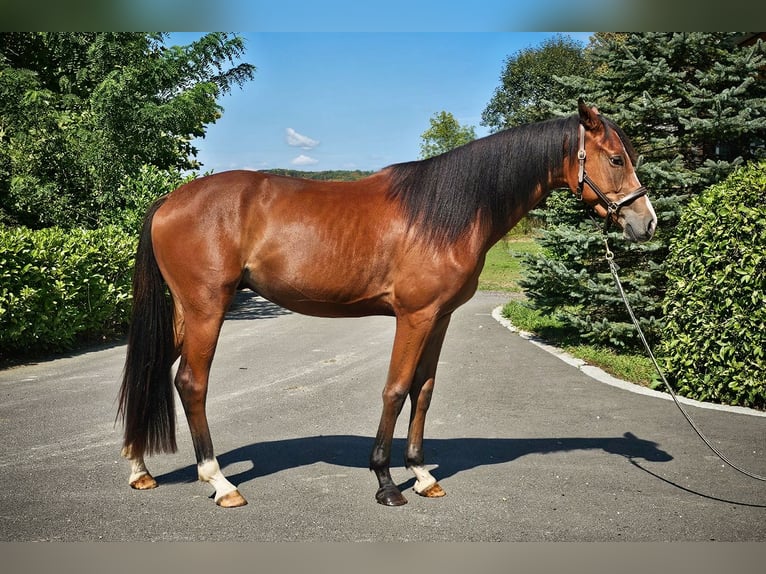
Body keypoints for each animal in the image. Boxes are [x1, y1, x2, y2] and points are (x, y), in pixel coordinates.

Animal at [117, 100, 656, 508]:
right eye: (615, 159)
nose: (646, 222)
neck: (445, 212)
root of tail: (168, 202)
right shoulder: (413, 316)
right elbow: (395, 390)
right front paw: (385, 481)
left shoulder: (440, 318)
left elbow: (424, 390)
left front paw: (422, 475)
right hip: (207, 309)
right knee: (192, 383)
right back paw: (220, 481)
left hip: (186, 314)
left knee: (150, 369)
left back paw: (140, 468)